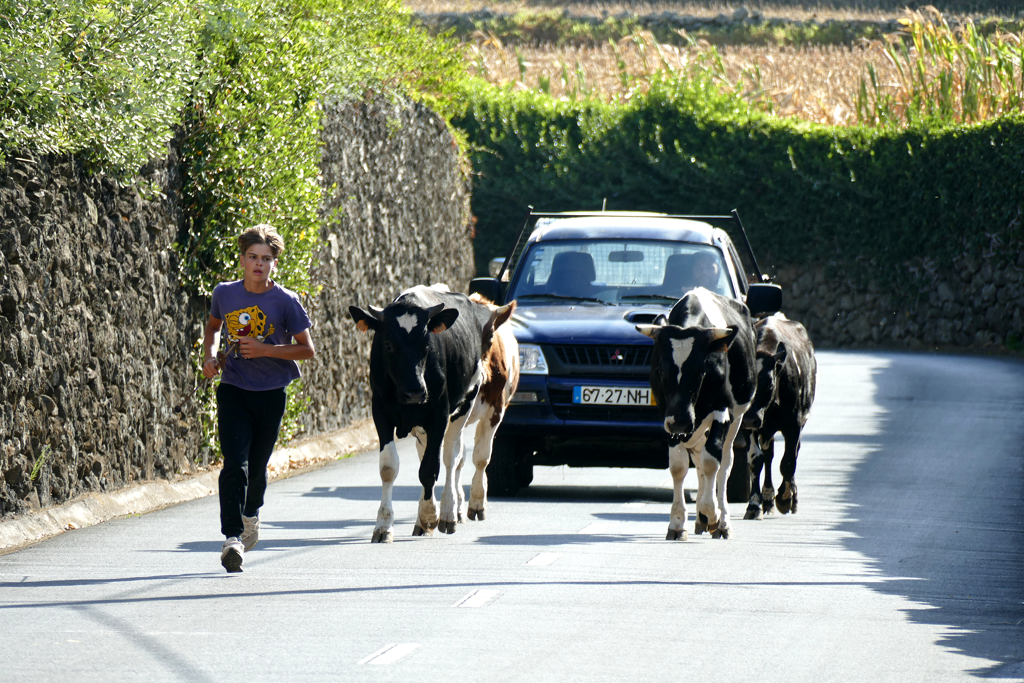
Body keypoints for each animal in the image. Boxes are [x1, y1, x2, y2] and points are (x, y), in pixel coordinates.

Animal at [350, 286, 512, 540]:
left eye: (427, 346)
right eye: (388, 344)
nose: (415, 391)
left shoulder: (439, 415)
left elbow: (430, 470)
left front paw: (430, 516)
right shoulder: (380, 413)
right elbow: (388, 468)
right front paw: (384, 525)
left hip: (463, 410)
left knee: (453, 459)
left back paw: (448, 512)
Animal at [634, 286, 757, 540]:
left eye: (701, 370)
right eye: (661, 370)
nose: (681, 421)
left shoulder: (722, 412)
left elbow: (712, 462)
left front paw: (712, 513)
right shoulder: (667, 418)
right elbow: (679, 466)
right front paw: (677, 523)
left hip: (737, 419)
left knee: (724, 463)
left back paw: (722, 520)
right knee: (698, 460)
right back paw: (700, 519)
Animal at [737, 313, 815, 520]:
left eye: (769, 384)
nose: (750, 418)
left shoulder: (793, 425)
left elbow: (788, 462)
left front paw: (786, 498)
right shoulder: (747, 427)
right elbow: (756, 460)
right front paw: (754, 505)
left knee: (792, 454)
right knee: (768, 455)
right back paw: (767, 500)